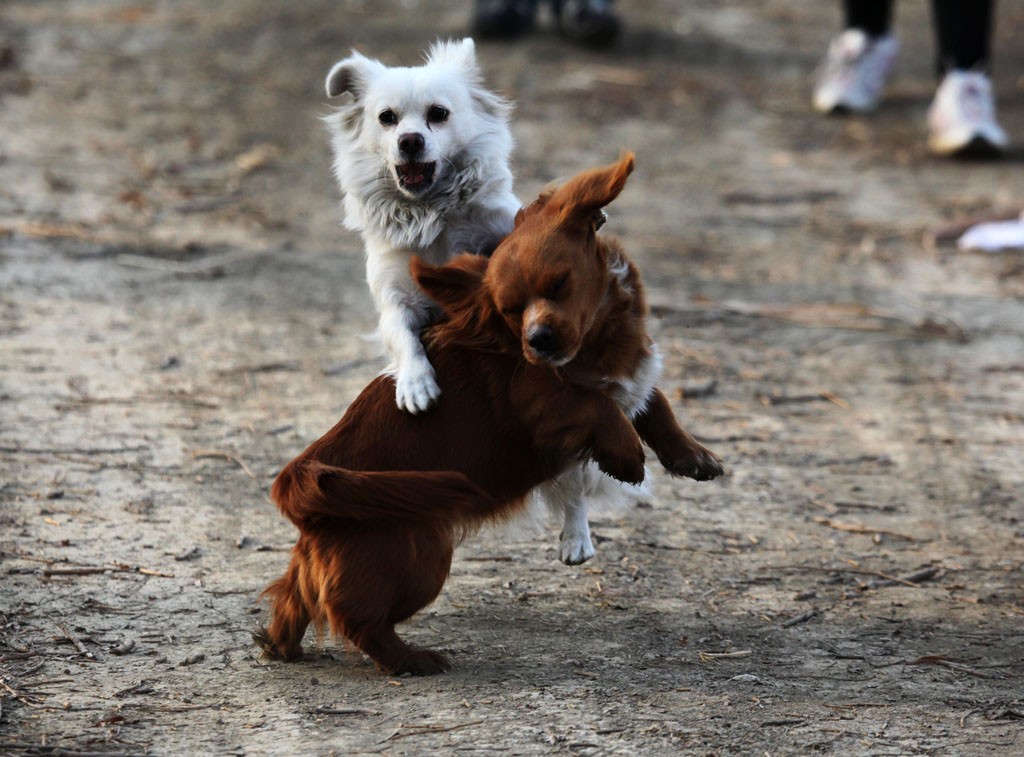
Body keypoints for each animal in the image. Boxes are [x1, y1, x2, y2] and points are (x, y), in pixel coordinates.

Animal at [254, 153, 720, 676]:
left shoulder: (629, 377)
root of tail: (300, 477)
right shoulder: (537, 401)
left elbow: (652, 400)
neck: (600, 336)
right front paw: (626, 456)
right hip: (419, 553)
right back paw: (411, 659)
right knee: (357, 618)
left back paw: (281, 643)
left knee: (294, 595)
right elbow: (597, 405)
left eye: (560, 283)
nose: (539, 341)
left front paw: (691, 455)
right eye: (510, 310)